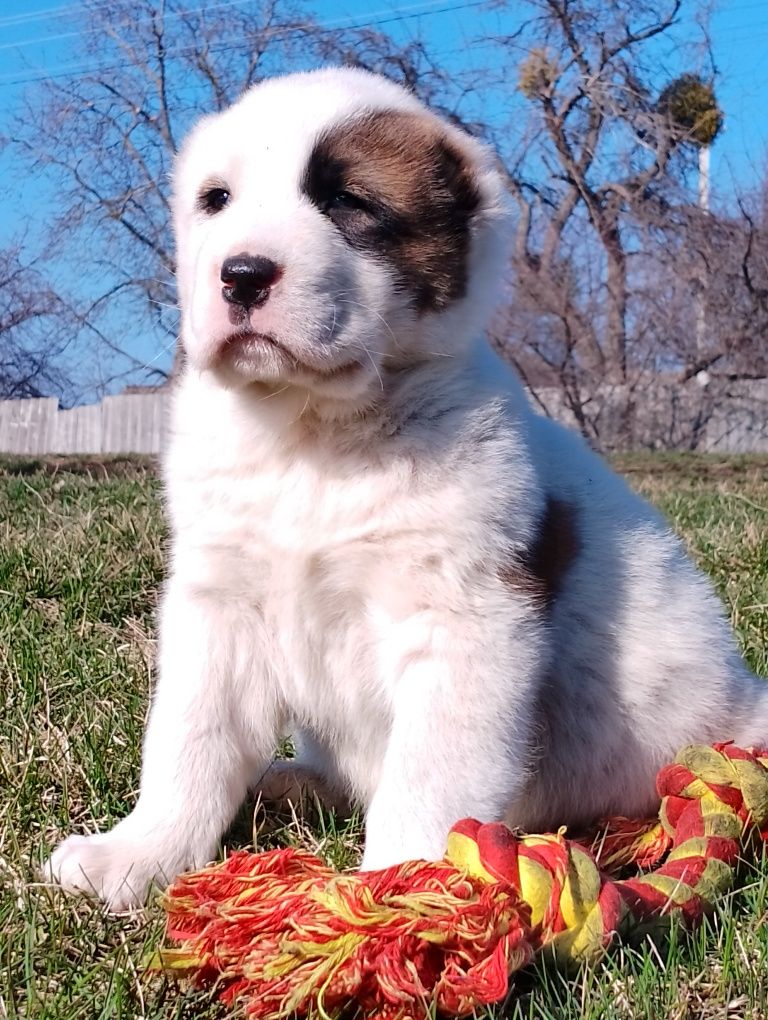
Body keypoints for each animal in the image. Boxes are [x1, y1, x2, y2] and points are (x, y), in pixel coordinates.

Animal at [47, 65, 766, 909]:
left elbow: (428, 774)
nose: (243, 273)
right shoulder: (220, 606)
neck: (312, 435)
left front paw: (396, 895)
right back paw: (288, 782)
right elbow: (189, 738)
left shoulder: (464, 624)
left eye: (350, 204)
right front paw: (137, 853)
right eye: (216, 200)